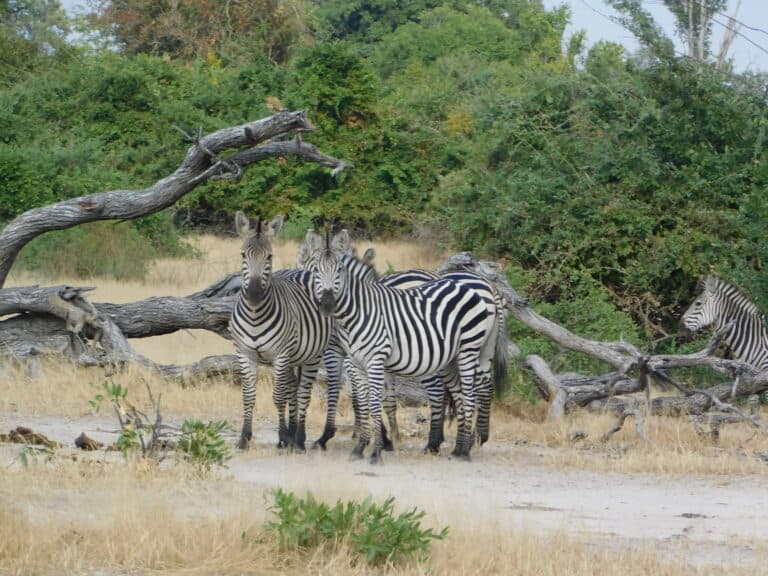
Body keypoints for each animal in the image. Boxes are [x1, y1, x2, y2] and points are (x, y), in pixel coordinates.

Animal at [230, 212, 340, 451]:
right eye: (243, 255)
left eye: (269, 257)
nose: (253, 294)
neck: (254, 315)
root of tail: (303, 271)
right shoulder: (245, 353)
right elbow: (248, 396)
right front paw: (244, 438)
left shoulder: (280, 355)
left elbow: (278, 396)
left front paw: (281, 437)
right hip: (293, 358)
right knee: (293, 390)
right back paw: (292, 434)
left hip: (311, 356)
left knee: (302, 393)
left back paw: (297, 439)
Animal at [300, 231, 508, 454]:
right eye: (314, 271)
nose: (323, 306)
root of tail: (490, 286)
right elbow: (384, 398)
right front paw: (387, 437)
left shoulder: (341, 353)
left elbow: (344, 391)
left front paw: (332, 435)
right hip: (475, 351)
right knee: (482, 386)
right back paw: (471, 438)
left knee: (447, 389)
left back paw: (449, 441)